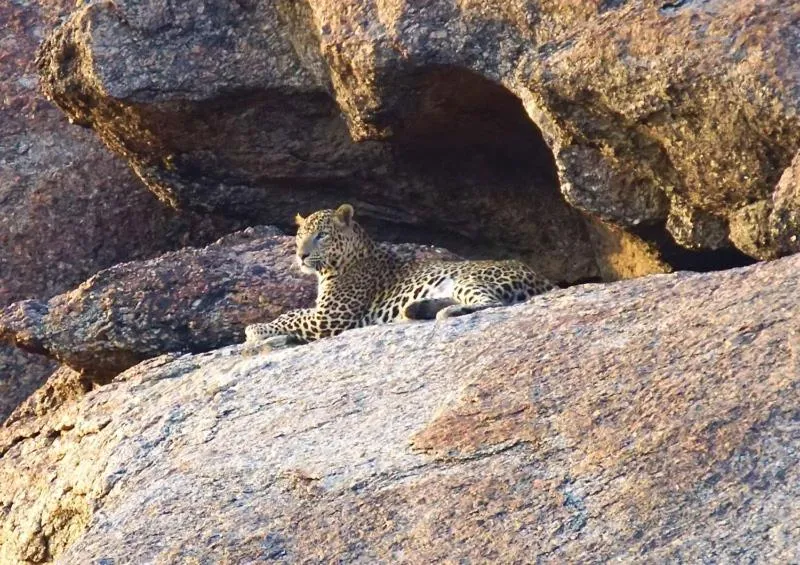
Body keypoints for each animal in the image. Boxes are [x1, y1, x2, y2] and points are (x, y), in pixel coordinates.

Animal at [244, 203, 555, 346]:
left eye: (321, 235)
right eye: (300, 236)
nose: (301, 255)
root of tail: (542, 277)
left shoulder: (330, 317)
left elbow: (292, 314)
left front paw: (255, 328)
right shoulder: (325, 315)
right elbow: (293, 313)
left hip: (468, 279)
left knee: (492, 303)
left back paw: (441, 312)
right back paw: (418, 309)